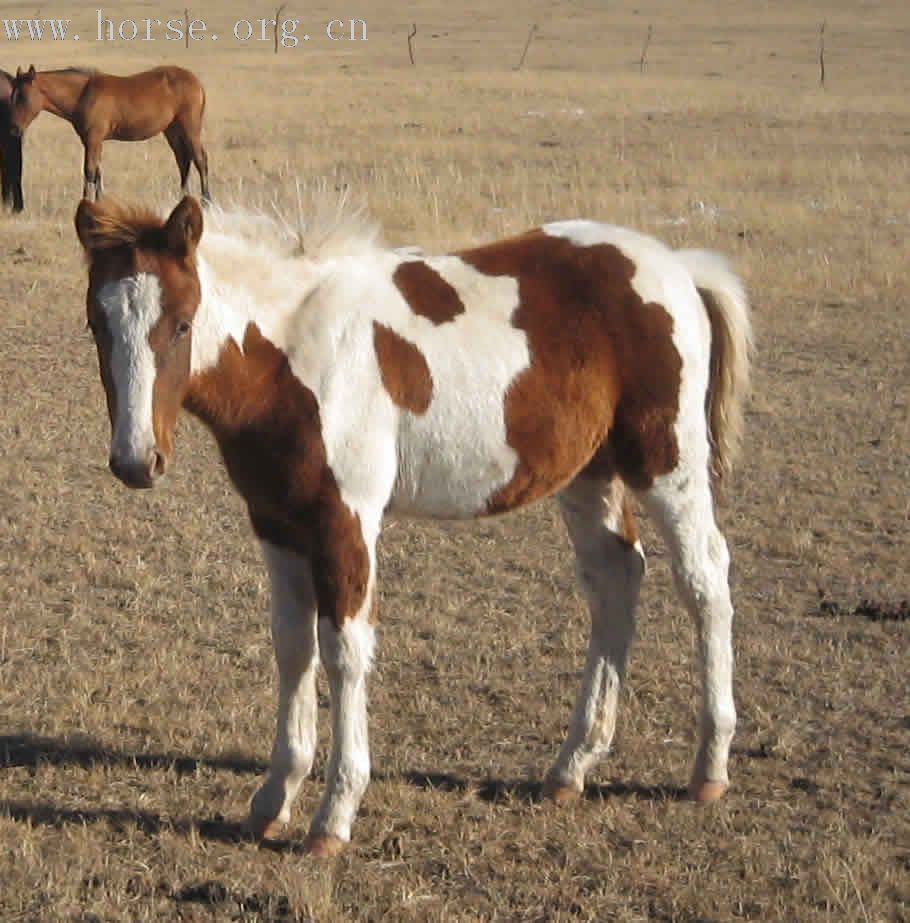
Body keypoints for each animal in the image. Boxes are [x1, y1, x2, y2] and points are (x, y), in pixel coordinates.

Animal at [9, 65, 210, 202]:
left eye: (23, 98)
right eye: (12, 96)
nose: (14, 130)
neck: (83, 94)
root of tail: (197, 82)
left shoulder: (93, 138)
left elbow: (89, 170)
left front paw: (86, 201)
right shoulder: (91, 141)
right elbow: (98, 170)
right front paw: (100, 201)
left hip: (190, 128)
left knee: (200, 159)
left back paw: (206, 200)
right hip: (172, 131)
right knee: (183, 161)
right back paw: (183, 197)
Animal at [73, 195, 756, 860]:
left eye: (182, 322)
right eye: (97, 324)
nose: (136, 460)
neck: (298, 355)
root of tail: (678, 267)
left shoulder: (346, 518)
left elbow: (344, 652)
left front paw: (333, 817)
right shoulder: (276, 521)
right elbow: (292, 646)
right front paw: (272, 800)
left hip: (666, 462)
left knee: (705, 581)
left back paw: (709, 767)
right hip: (590, 474)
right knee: (616, 580)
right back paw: (571, 767)